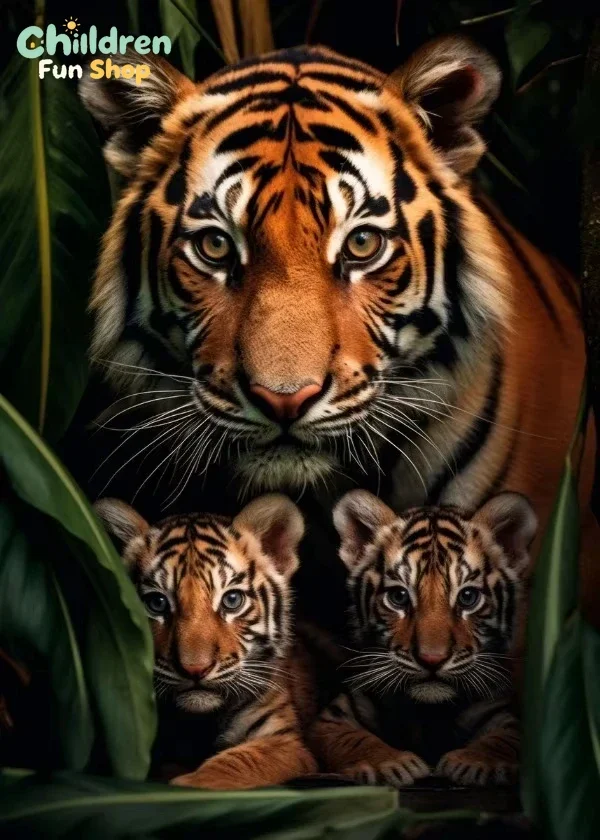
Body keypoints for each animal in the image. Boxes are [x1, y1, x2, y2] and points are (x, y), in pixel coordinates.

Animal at [94, 493, 317, 789]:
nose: (195, 669)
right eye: (157, 603)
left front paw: (189, 785)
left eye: (232, 600)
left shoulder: (287, 743)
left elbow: (239, 761)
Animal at [309, 488, 536, 787]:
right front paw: (392, 764)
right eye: (398, 597)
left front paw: (477, 763)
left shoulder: (501, 712)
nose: (432, 659)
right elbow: (353, 740)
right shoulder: (334, 716)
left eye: (468, 597)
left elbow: (504, 741)